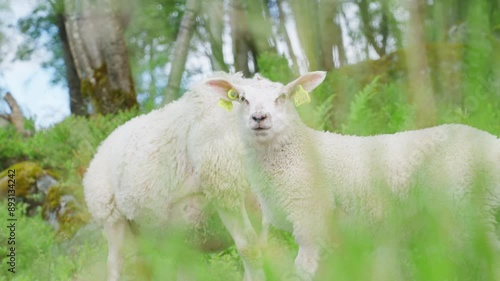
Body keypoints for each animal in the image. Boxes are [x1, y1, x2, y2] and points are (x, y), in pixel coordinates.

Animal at [85, 72, 266, 280]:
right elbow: (249, 247)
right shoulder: (225, 192)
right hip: (110, 217)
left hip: (173, 235)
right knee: (116, 264)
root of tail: (104, 142)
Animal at [205, 71, 500, 280]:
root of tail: (492, 142)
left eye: (283, 97)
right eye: (242, 99)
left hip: (469, 202)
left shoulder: (309, 217)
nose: (259, 118)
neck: (296, 151)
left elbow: (303, 269)